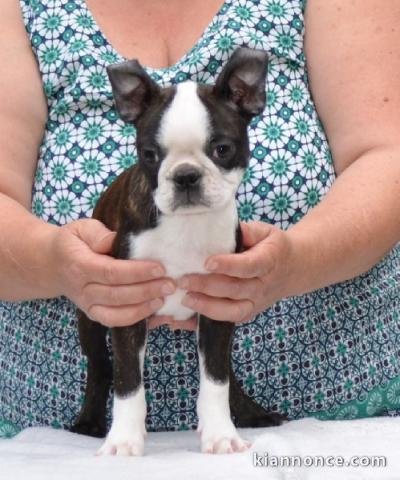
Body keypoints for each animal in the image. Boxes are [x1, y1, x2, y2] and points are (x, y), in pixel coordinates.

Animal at [70, 47, 286, 456]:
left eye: (222, 149)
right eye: (150, 154)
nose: (185, 175)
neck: (186, 224)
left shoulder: (219, 305)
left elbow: (215, 379)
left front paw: (221, 434)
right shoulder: (127, 306)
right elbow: (127, 382)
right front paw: (123, 441)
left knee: (225, 370)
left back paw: (249, 412)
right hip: (90, 317)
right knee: (100, 367)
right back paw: (88, 422)